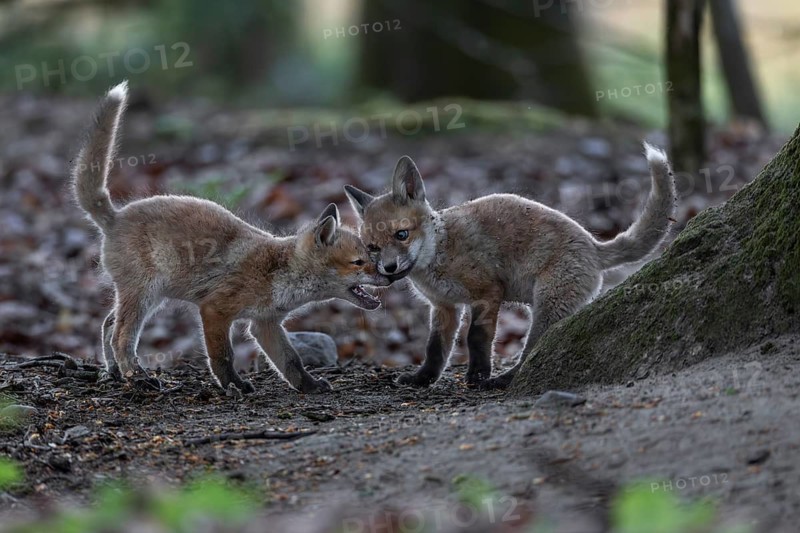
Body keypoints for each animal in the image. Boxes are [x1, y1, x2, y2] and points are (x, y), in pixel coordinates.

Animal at [72, 81, 389, 394]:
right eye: (359, 262)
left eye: (371, 254)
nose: (389, 276)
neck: (278, 274)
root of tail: (115, 216)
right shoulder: (215, 309)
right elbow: (223, 356)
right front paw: (232, 385)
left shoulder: (265, 322)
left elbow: (291, 362)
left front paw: (309, 386)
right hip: (144, 293)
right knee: (120, 335)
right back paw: (136, 376)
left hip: (150, 297)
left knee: (108, 325)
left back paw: (114, 373)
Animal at [344, 147, 675, 389]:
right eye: (372, 248)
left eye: (402, 234)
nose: (389, 268)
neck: (440, 253)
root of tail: (593, 244)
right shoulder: (444, 306)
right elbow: (435, 349)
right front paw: (422, 379)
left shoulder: (488, 293)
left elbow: (476, 339)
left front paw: (478, 376)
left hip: (546, 306)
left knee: (535, 350)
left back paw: (504, 380)